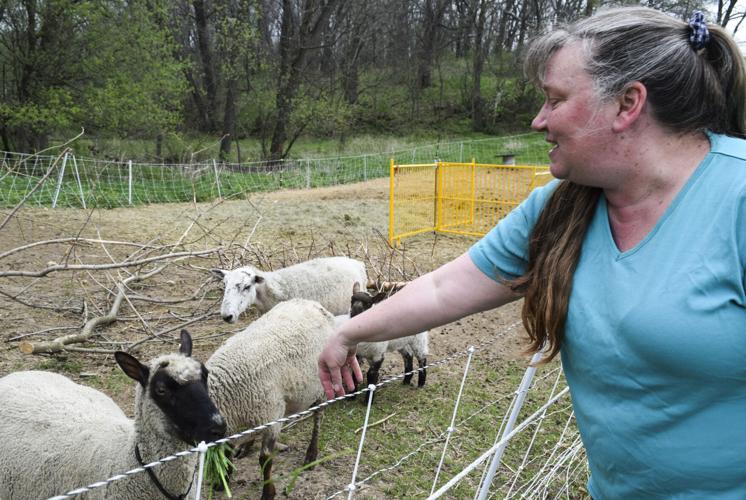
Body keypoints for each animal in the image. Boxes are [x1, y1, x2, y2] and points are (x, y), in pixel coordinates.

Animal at [206, 298, 334, 500]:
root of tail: (312, 303)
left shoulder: (271, 416)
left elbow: (265, 459)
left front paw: (268, 493)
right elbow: (226, 451)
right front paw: (223, 480)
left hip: (321, 384)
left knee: (318, 417)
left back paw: (311, 455)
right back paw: (246, 447)